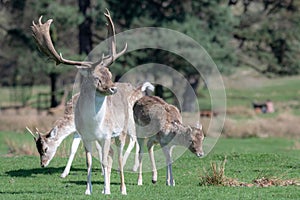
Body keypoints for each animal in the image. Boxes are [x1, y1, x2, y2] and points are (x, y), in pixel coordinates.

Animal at [31, 9, 146, 195]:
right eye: (97, 78)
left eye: (109, 74)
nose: (112, 88)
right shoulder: (86, 136)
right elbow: (89, 161)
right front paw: (88, 189)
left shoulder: (106, 135)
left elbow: (105, 160)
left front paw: (107, 189)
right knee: (114, 154)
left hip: (124, 129)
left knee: (124, 152)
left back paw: (125, 186)